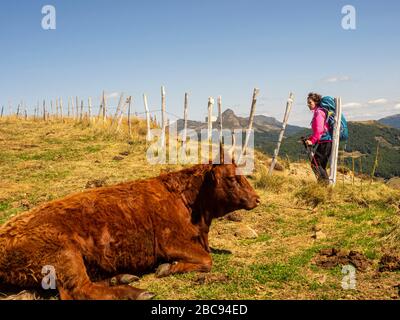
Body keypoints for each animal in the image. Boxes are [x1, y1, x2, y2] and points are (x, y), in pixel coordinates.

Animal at [0, 165, 260, 300]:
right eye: (232, 178)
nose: (257, 198)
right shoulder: (171, 243)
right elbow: (206, 260)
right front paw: (167, 268)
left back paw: (122, 278)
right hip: (64, 256)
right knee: (80, 290)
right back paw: (136, 292)